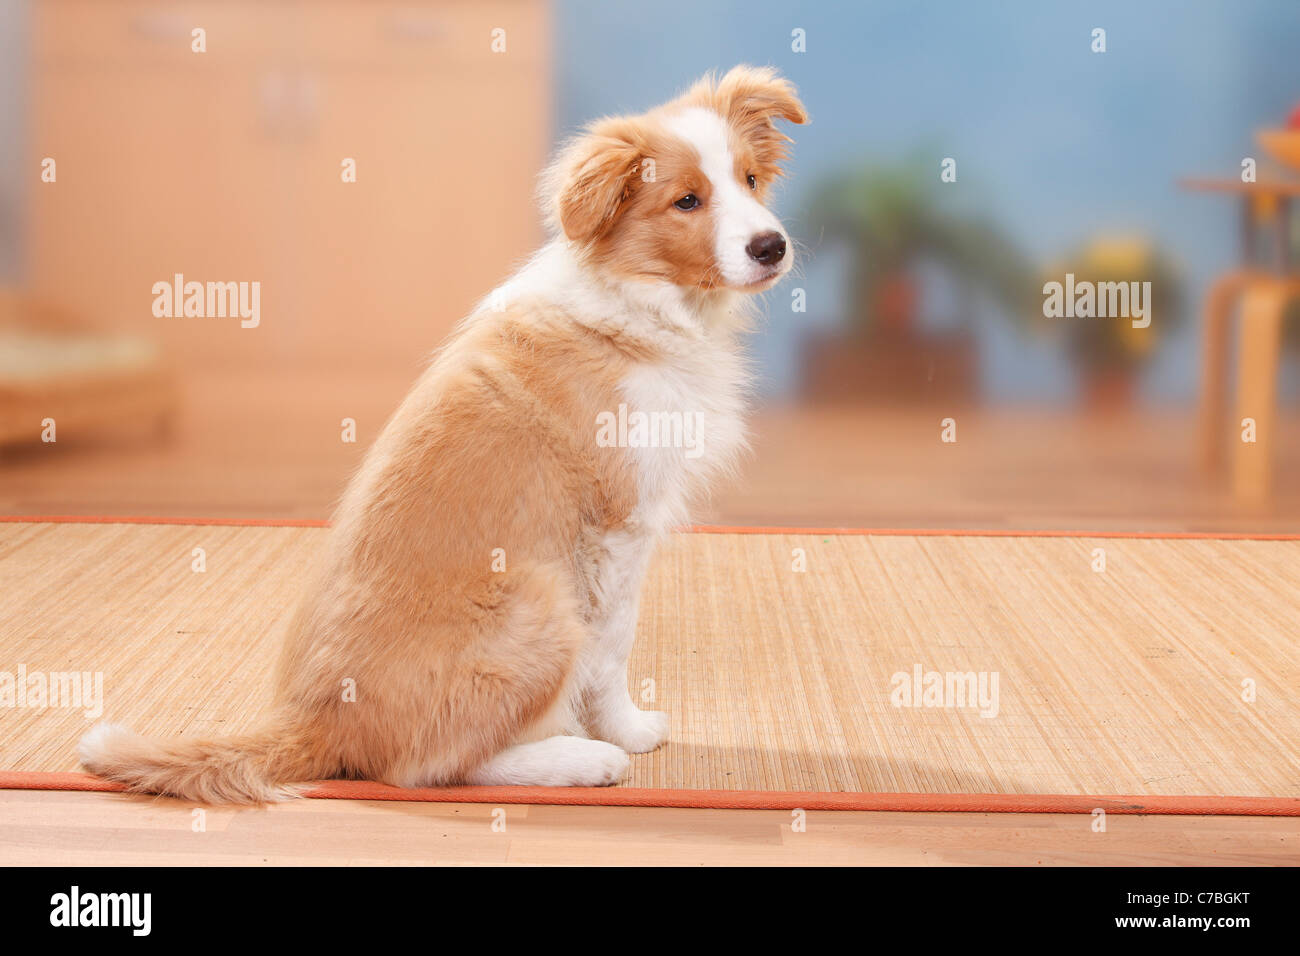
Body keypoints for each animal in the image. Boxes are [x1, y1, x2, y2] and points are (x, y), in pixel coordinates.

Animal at [78, 63, 800, 806]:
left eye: (749, 179)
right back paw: (580, 759)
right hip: (542, 599)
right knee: (428, 767)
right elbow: (613, 648)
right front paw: (626, 731)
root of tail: (316, 725)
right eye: (686, 201)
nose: (772, 246)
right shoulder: (617, 526)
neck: (640, 303)